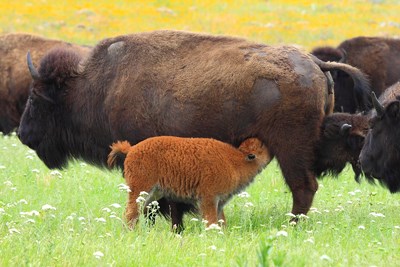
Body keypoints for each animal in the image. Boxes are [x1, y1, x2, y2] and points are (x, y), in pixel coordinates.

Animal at [108, 137, 272, 229]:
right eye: (261, 147)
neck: (236, 161)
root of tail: (132, 149)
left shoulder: (219, 202)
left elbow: (221, 220)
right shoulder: (208, 199)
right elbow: (211, 220)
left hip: (153, 193)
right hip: (140, 189)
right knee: (131, 212)